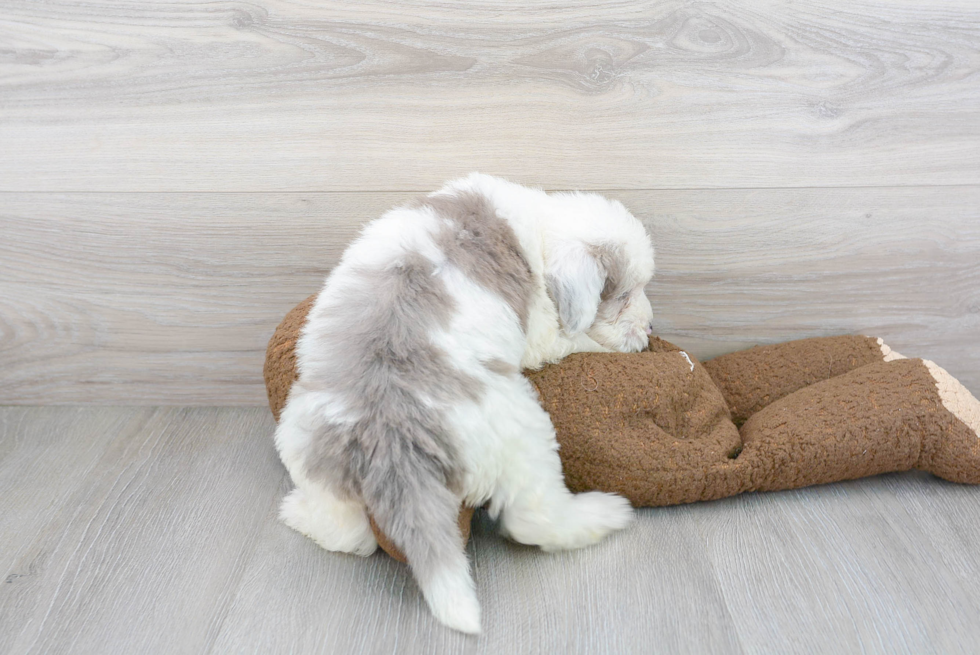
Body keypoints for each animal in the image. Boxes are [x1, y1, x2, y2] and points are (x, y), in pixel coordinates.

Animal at [276, 172, 656, 632]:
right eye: (623, 295)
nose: (650, 326)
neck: (542, 226)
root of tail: (391, 438)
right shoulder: (542, 332)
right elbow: (573, 339)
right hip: (523, 431)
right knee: (534, 519)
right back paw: (603, 514)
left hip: (300, 436)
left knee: (351, 535)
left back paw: (297, 512)